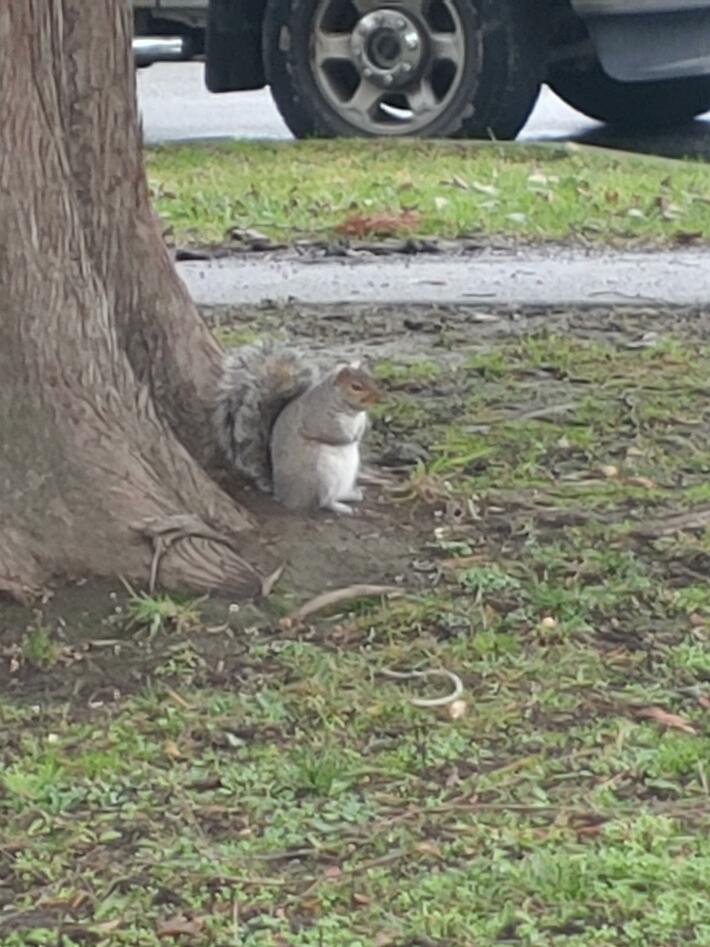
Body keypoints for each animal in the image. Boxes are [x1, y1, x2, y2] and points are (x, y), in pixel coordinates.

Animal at [214, 341, 382, 514]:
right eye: (356, 387)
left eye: (370, 379)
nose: (380, 398)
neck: (351, 412)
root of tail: (281, 494)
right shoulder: (316, 418)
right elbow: (332, 434)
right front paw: (350, 439)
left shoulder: (359, 420)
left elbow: (360, 428)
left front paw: (359, 435)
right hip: (321, 479)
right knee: (322, 502)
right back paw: (340, 507)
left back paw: (352, 495)